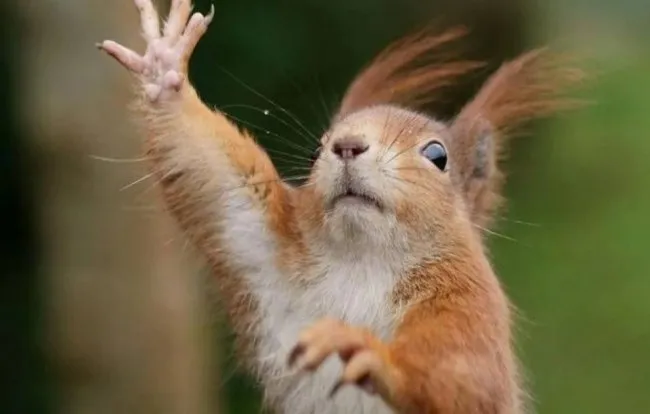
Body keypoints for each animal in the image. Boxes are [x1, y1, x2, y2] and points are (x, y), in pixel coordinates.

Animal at [98, 1, 582, 413]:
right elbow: (210, 174)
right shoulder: (259, 240)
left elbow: (467, 378)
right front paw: (164, 71)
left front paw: (375, 356)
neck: (361, 258)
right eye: (318, 149)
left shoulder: (469, 304)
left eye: (437, 155)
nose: (347, 145)